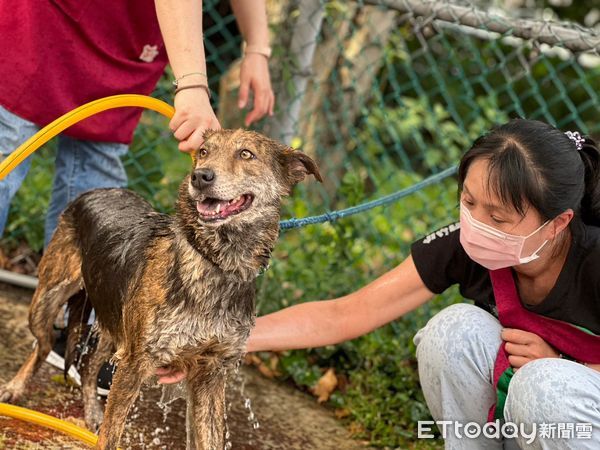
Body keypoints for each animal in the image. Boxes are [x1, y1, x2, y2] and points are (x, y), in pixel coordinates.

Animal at [0, 128, 322, 448]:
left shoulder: (210, 374)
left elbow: (209, 439)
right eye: (203, 152)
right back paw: (15, 388)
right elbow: (111, 436)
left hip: (113, 325)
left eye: (246, 154)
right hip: (47, 301)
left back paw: (91, 413)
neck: (215, 263)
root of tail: (98, 190)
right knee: (43, 345)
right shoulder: (135, 363)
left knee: (89, 370)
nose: (200, 176)